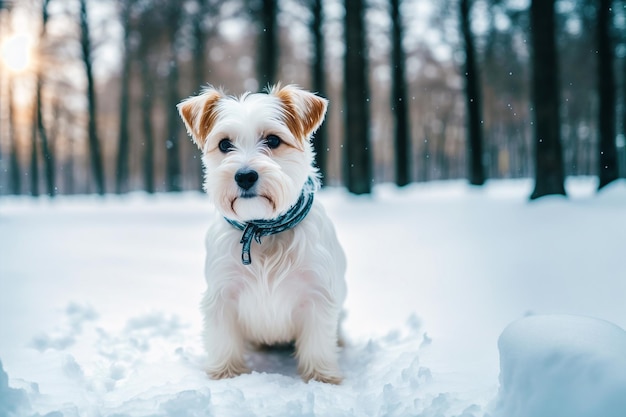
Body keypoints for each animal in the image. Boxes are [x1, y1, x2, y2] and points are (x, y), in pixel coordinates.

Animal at [177, 83, 346, 384]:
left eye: (273, 140)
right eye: (224, 144)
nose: (245, 176)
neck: (262, 229)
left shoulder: (317, 294)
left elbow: (318, 343)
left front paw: (322, 378)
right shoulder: (222, 294)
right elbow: (224, 339)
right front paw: (226, 374)